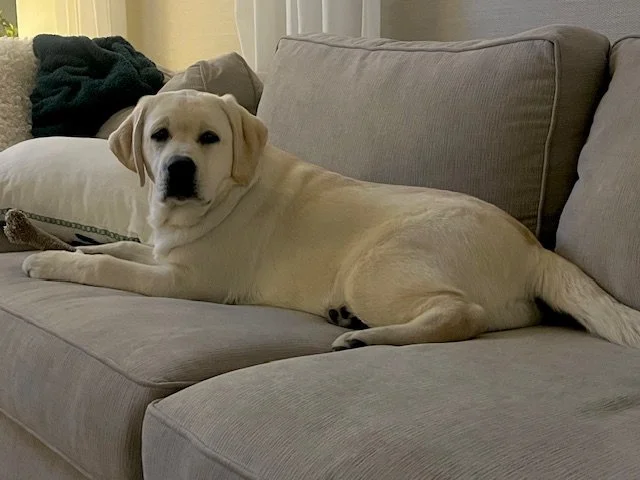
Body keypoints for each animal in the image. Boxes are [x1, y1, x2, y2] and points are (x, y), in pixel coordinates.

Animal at [23, 90, 640, 350]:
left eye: (210, 139)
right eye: (158, 136)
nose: (178, 169)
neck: (226, 194)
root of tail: (535, 248)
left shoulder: (186, 281)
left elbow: (111, 271)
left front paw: (50, 261)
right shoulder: (161, 253)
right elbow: (120, 250)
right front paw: (77, 246)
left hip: (375, 265)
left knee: (461, 316)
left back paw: (368, 337)